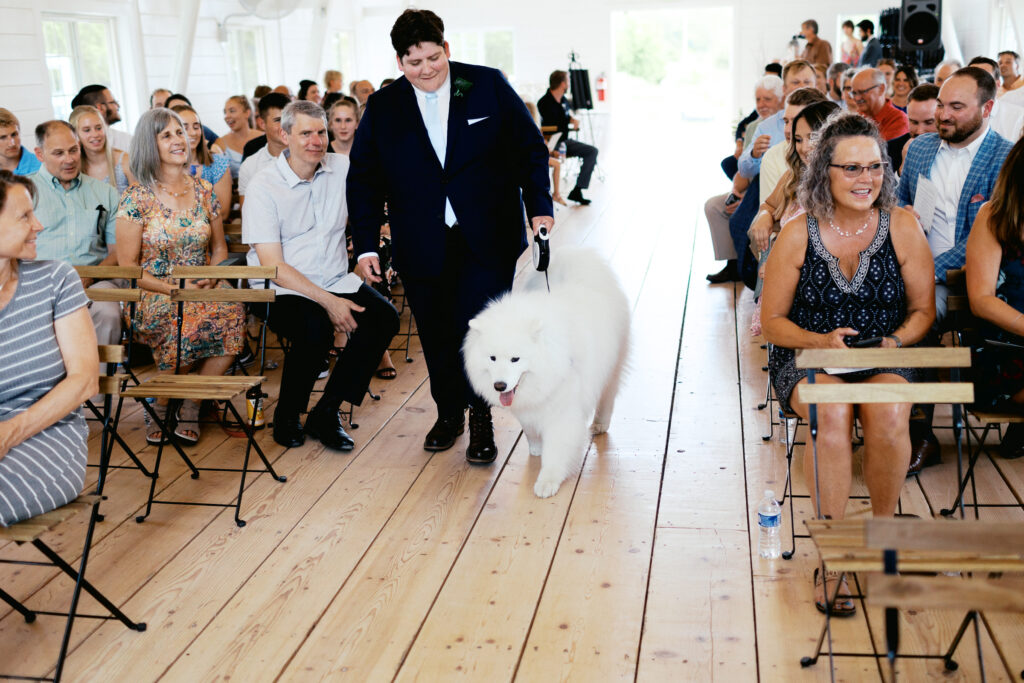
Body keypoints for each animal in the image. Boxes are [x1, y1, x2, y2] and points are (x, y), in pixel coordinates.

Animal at [464, 245, 630, 497]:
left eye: (515, 359)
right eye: (492, 358)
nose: (500, 385)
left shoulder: (563, 411)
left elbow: (557, 449)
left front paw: (547, 481)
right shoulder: (528, 407)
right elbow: (530, 430)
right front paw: (535, 447)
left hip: (611, 366)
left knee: (607, 397)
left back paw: (600, 423)